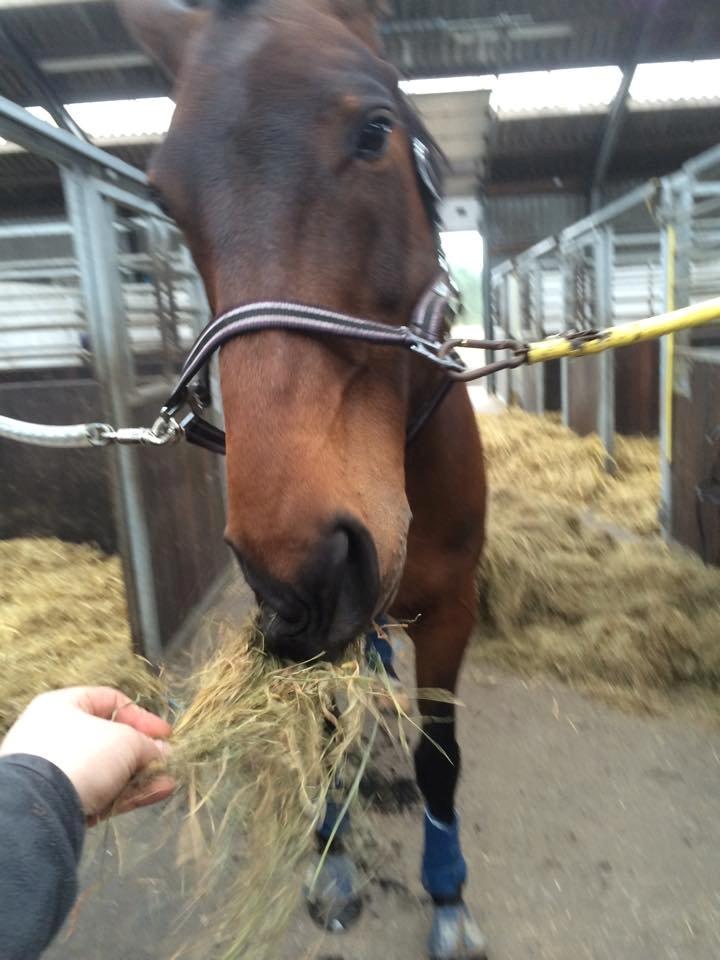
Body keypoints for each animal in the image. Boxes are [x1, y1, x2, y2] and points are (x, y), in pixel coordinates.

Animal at [118, 3, 490, 956]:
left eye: (375, 131)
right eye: (163, 197)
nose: (306, 565)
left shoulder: (452, 609)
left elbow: (441, 758)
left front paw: (448, 897)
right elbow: (321, 736)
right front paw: (331, 863)